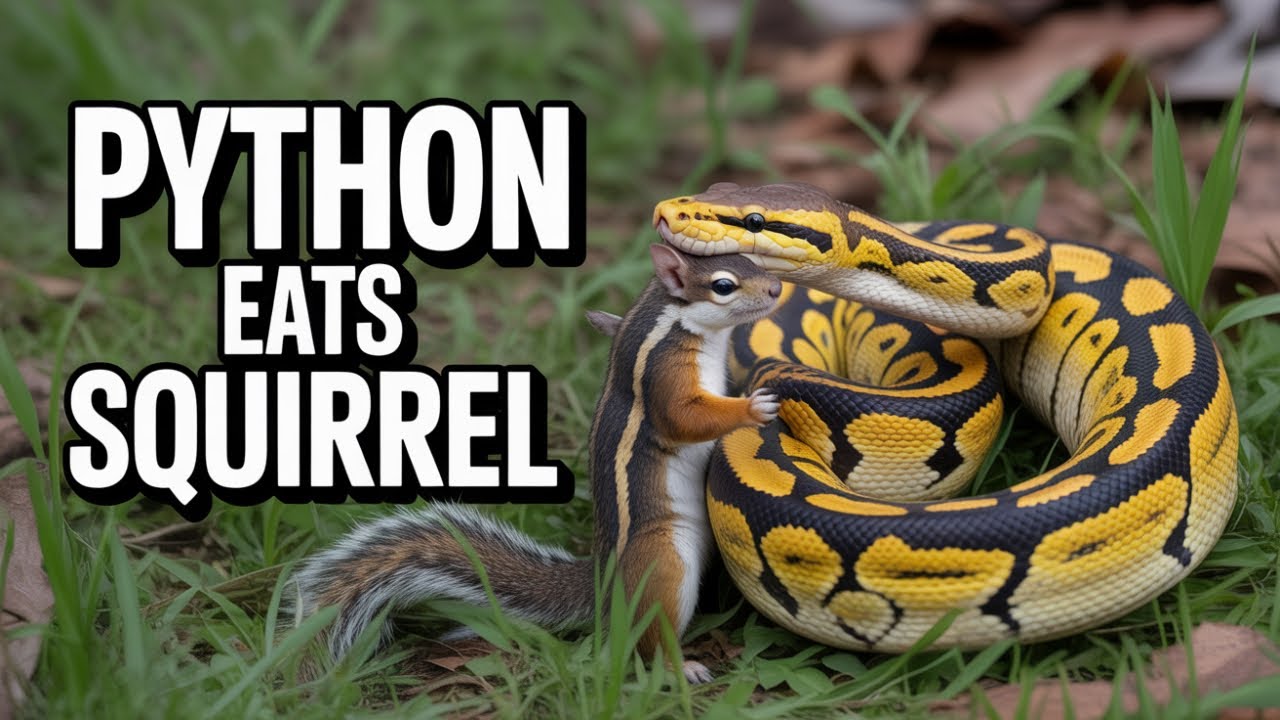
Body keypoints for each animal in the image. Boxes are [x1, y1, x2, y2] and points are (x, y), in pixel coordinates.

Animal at [291, 243, 782, 683]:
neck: (677, 324)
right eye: (723, 285)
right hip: (664, 563)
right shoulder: (665, 377)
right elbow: (686, 417)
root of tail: (604, 581)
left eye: (750, 259)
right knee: (645, 643)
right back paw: (682, 667)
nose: (778, 287)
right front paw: (753, 407)